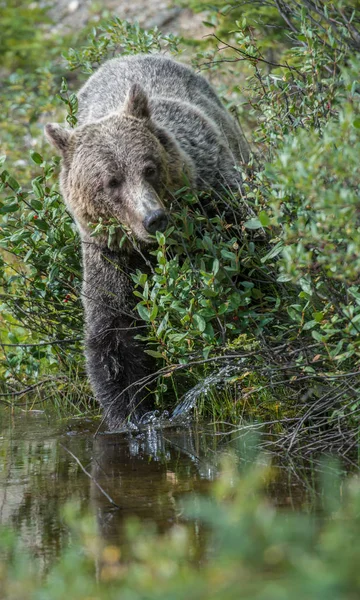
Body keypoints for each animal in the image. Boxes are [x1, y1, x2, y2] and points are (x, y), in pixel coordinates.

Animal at [44, 50, 248, 426]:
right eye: (110, 182)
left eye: (149, 168)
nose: (154, 219)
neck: (149, 249)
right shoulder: (109, 252)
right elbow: (114, 331)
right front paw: (128, 412)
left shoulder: (215, 197)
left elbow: (244, 263)